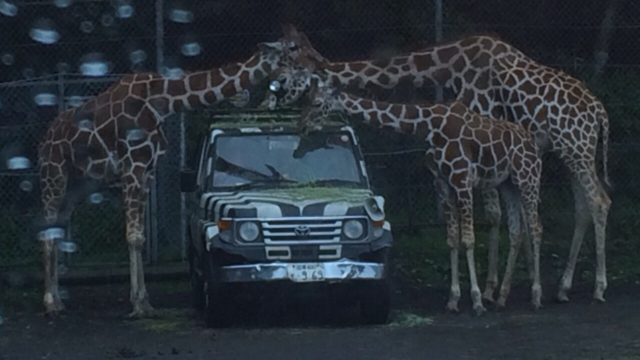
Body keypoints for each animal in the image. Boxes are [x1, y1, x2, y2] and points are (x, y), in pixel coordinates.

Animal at [36, 38, 308, 316]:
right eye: (292, 53)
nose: (308, 71)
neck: (162, 100)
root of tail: (46, 138)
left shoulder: (147, 171)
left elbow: (141, 237)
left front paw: (144, 301)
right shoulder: (132, 166)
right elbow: (133, 236)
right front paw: (139, 306)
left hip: (77, 186)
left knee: (56, 230)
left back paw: (59, 300)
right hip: (54, 175)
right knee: (46, 231)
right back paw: (50, 303)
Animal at [302, 80, 544, 314]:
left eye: (317, 103)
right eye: (308, 99)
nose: (303, 126)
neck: (427, 125)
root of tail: (532, 143)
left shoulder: (462, 180)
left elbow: (468, 240)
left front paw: (476, 301)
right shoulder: (442, 183)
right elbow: (452, 239)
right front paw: (453, 299)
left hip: (528, 178)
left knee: (535, 228)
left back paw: (536, 296)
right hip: (509, 184)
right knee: (516, 232)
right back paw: (502, 297)